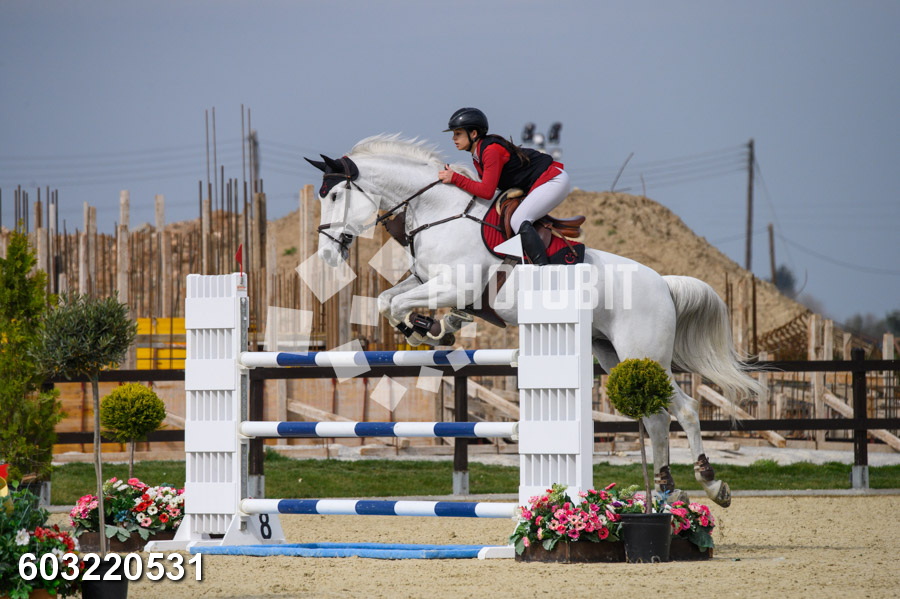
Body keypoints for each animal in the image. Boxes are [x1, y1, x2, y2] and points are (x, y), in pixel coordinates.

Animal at [305, 134, 762, 507]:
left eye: (334, 195)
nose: (327, 255)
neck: (438, 212)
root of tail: (663, 284)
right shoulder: (425, 279)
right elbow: (386, 300)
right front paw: (430, 329)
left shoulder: (454, 284)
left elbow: (398, 305)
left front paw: (428, 328)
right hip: (614, 355)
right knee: (655, 418)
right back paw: (668, 488)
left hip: (644, 351)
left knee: (684, 409)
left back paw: (711, 484)